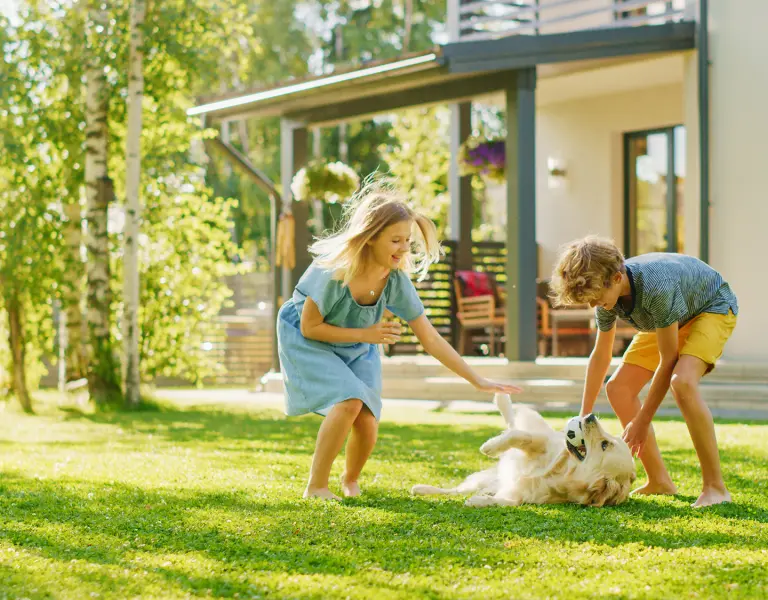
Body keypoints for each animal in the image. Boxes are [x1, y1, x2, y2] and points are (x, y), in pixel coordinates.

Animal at [414, 394, 636, 506]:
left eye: (604, 444)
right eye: (610, 440)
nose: (589, 416)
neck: (566, 472)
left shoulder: (524, 494)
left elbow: (508, 502)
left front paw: (481, 501)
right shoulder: (544, 441)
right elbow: (519, 436)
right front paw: (490, 447)